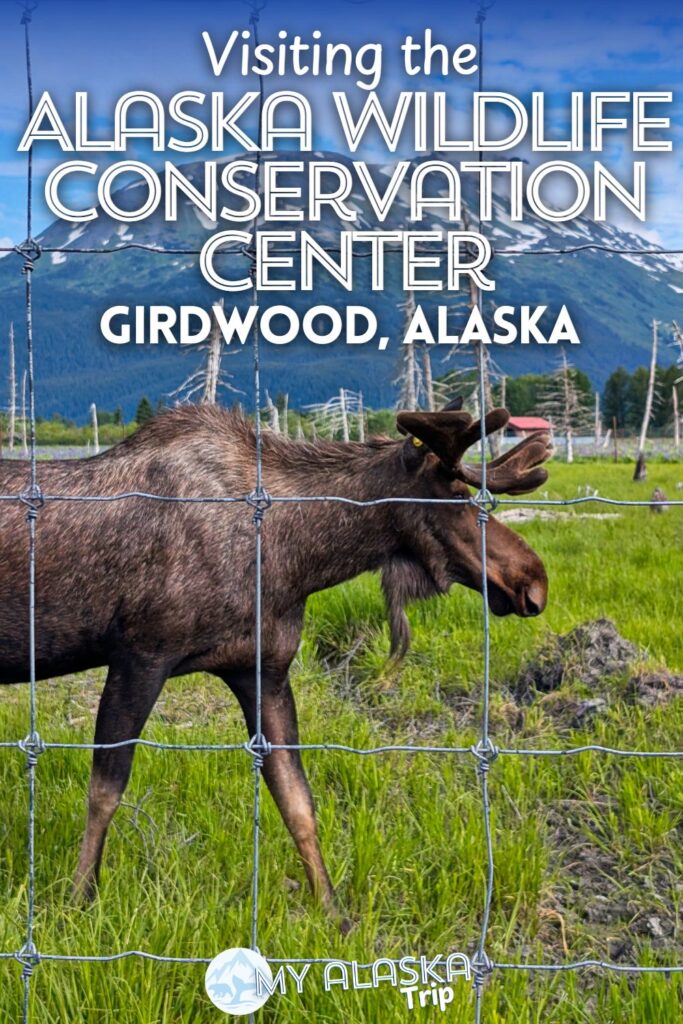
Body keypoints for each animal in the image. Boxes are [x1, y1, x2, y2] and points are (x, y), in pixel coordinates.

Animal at [0, 399, 552, 928]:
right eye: (455, 496)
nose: (534, 582)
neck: (298, 558)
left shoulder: (263, 671)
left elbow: (297, 801)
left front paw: (334, 913)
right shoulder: (140, 655)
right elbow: (104, 793)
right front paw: (78, 899)